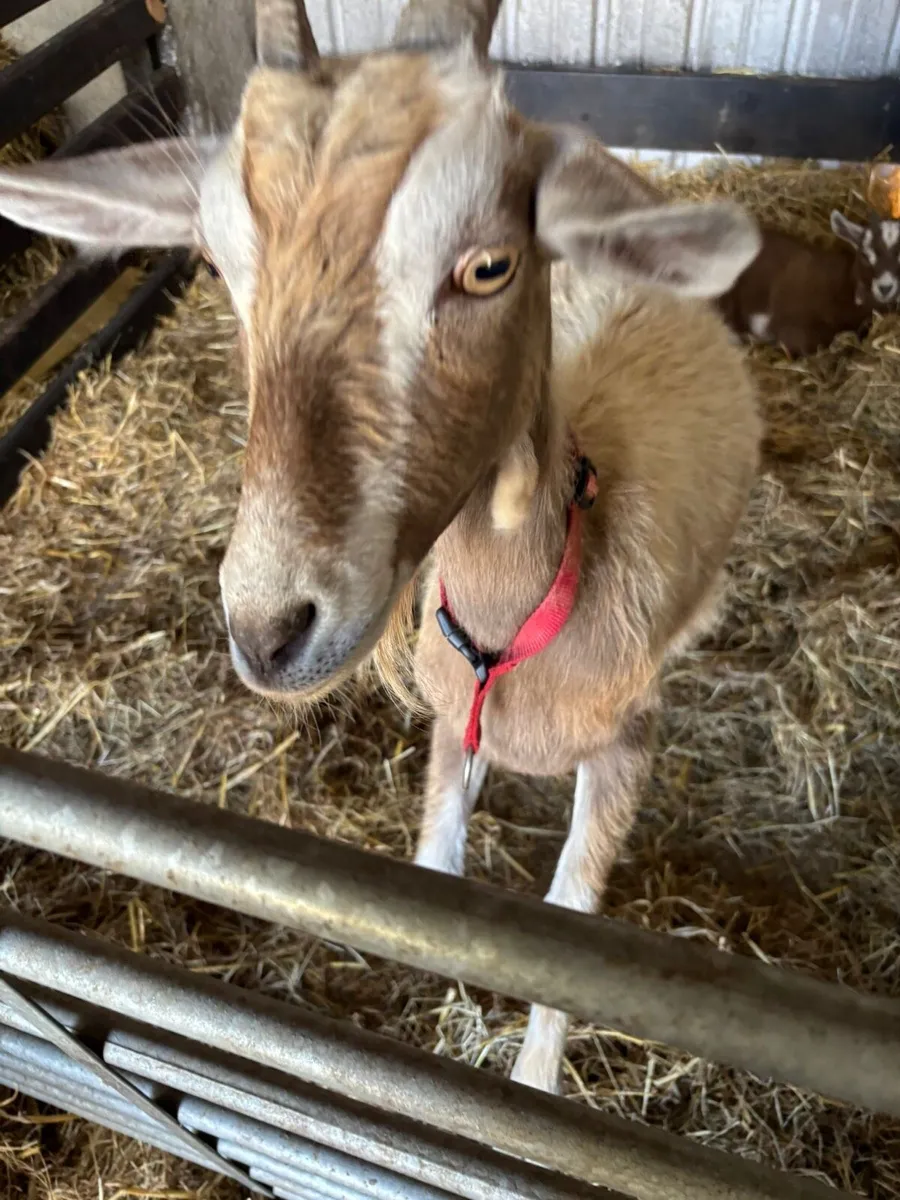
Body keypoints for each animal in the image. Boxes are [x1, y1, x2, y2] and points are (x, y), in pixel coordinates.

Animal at [0, 0, 763, 1094]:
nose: (269, 626)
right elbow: (435, 875)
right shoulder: (452, 728)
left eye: (488, 264)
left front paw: (532, 1086)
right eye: (219, 262)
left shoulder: (627, 749)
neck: (529, 616)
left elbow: (572, 921)